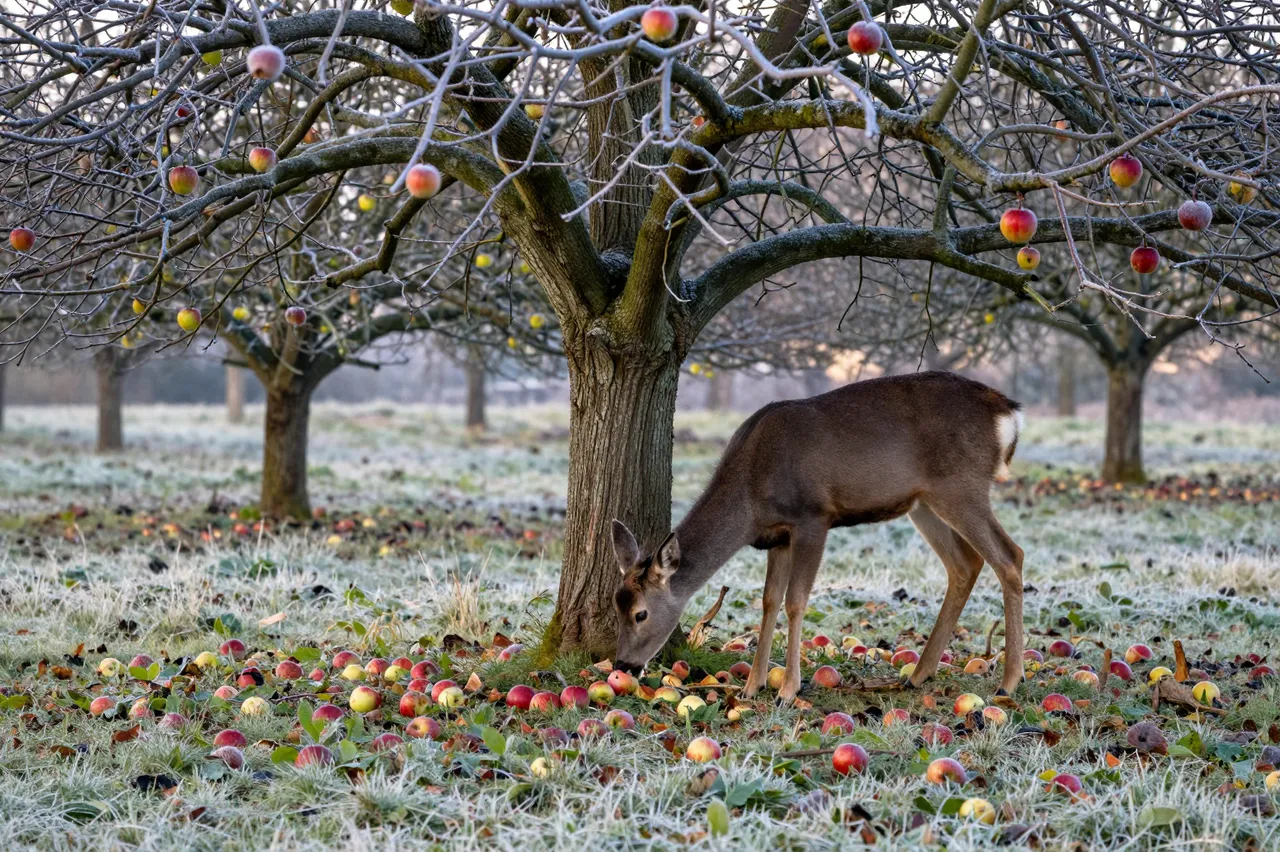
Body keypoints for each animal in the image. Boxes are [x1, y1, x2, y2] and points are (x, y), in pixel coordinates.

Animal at [610, 371, 1026, 703]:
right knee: (965, 564)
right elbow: (769, 601)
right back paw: (919, 675)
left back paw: (1009, 681)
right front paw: (752, 687)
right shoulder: (777, 536)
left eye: (641, 613)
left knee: (1010, 555)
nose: (624, 665)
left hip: (961, 485)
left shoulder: (812, 516)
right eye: (616, 605)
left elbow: (795, 601)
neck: (751, 494)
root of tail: (1006, 412)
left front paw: (788, 689)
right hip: (923, 501)